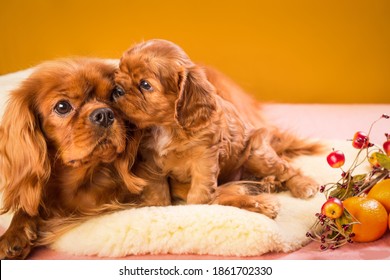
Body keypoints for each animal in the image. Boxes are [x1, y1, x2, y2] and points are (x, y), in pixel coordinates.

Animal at [0, 57, 166, 260]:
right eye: (62, 106)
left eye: (114, 94)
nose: (104, 114)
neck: (82, 178)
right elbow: (26, 209)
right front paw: (13, 235)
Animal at [113, 39, 320, 218]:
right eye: (119, 73)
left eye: (145, 85)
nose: (117, 89)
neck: (166, 126)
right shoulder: (151, 161)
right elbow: (157, 189)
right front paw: (157, 205)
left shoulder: (204, 156)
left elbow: (200, 190)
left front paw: (198, 205)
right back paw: (266, 187)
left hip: (258, 157)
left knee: (286, 169)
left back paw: (302, 185)